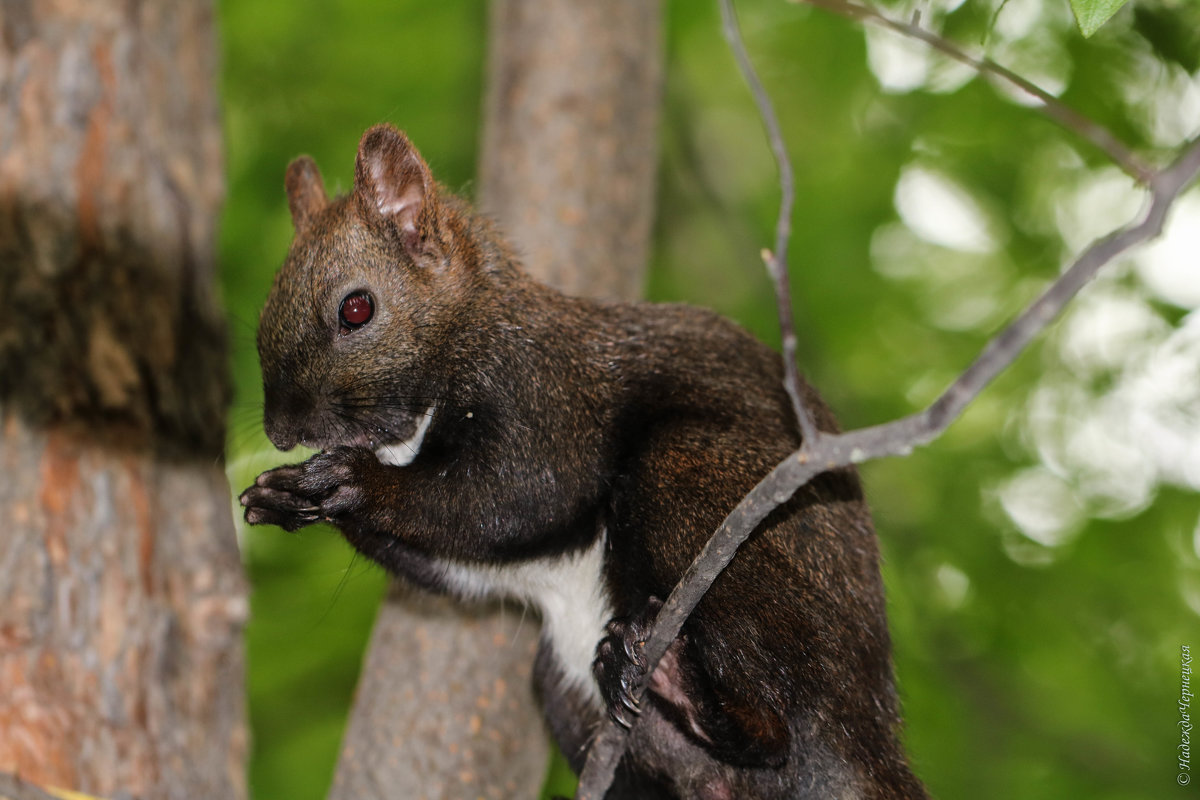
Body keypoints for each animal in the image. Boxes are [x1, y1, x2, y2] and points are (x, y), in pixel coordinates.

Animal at [236, 125, 926, 800]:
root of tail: (867, 731)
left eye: (356, 309)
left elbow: (511, 499)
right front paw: (284, 497)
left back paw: (691, 691)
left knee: (775, 728)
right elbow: (458, 558)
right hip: (564, 686)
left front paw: (351, 484)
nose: (282, 430)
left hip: (701, 494)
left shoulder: (546, 396)